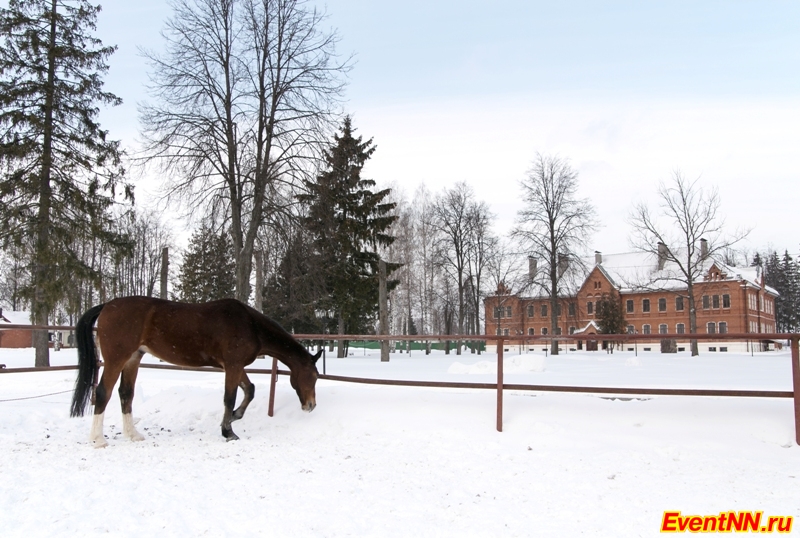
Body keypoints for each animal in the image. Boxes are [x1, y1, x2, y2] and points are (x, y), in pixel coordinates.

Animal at [69, 296, 318, 446]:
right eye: (314, 376)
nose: (311, 405)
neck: (250, 325)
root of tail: (106, 305)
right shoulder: (233, 365)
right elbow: (230, 397)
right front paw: (228, 432)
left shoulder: (234, 366)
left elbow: (250, 390)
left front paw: (234, 417)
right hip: (116, 358)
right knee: (103, 392)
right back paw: (97, 440)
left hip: (132, 359)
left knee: (125, 394)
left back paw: (133, 435)